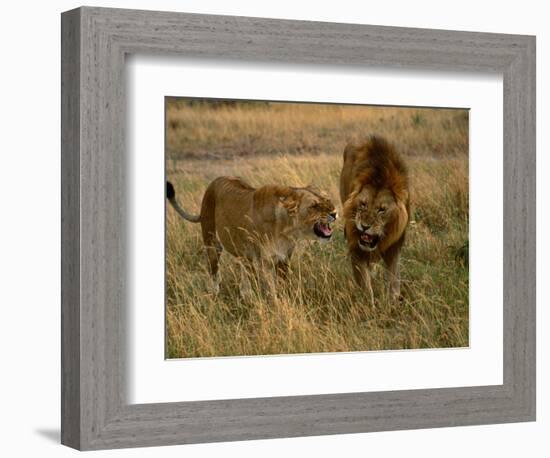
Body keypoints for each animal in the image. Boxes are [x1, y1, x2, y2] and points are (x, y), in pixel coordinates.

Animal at [168, 176, 338, 290]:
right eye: (314, 206)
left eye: (328, 200)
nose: (335, 213)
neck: (286, 229)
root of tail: (215, 180)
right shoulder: (265, 262)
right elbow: (272, 291)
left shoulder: (284, 258)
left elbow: (282, 286)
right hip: (211, 241)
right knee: (214, 273)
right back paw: (214, 296)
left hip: (245, 255)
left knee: (245, 277)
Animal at [338, 134, 412, 302]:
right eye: (363, 204)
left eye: (382, 210)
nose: (365, 226)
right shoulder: (355, 245)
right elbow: (365, 285)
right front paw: (368, 305)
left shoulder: (394, 245)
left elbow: (394, 279)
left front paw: (392, 303)